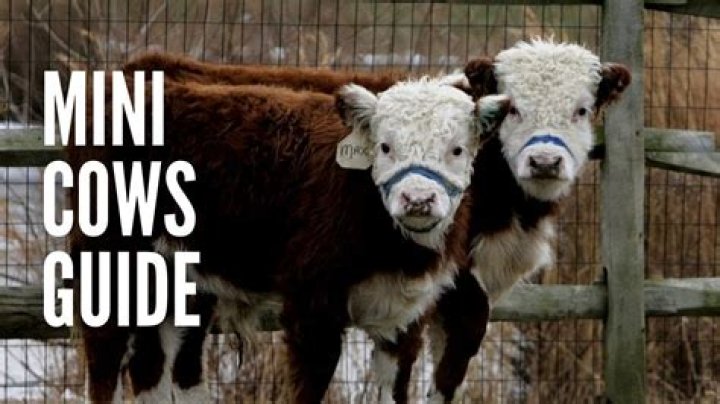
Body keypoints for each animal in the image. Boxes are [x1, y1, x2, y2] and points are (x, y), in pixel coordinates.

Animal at [69, 74, 491, 403]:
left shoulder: (408, 315)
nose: (418, 199)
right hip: (110, 257)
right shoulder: (312, 309)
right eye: (385, 146)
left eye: (457, 149)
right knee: (106, 352)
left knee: (157, 363)